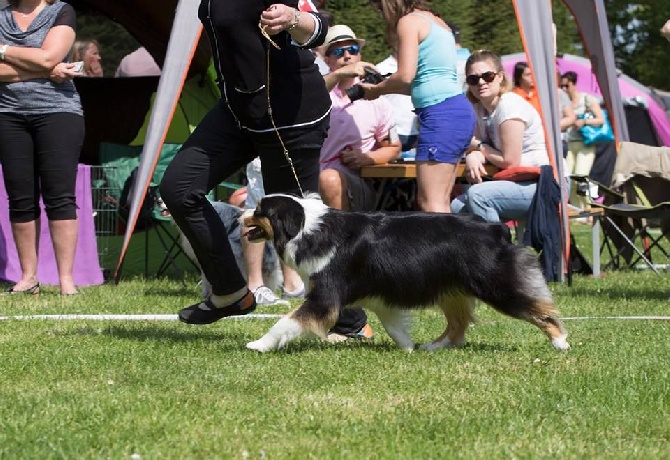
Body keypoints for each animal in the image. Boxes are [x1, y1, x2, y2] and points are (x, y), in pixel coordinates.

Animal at [243, 194, 572, 352]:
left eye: (259, 210)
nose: (239, 214)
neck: (306, 228)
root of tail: (497, 229)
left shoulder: (324, 298)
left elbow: (286, 323)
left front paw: (259, 345)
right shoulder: (380, 298)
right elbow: (394, 327)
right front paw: (409, 349)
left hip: (497, 286)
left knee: (540, 311)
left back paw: (561, 343)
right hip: (451, 289)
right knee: (458, 325)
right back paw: (432, 347)